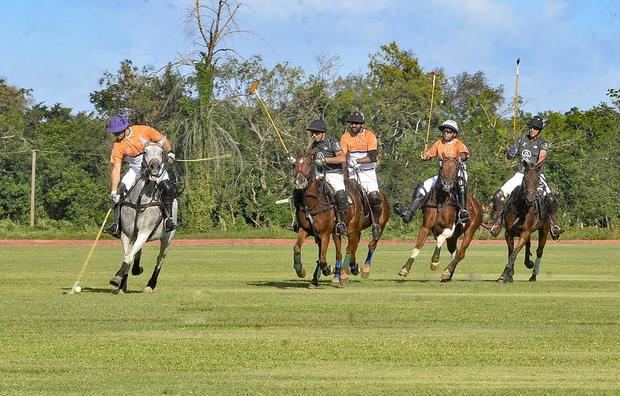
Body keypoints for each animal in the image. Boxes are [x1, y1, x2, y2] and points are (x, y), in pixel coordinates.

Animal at [108, 144, 177, 292]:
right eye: (144, 152)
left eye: (161, 152)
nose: (155, 168)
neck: (140, 200)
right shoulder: (127, 233)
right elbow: (128, 254)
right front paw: (122, 283)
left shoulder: (144, 232)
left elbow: (129, 255)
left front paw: (117, 279)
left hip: (167, 238)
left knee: (160, 258)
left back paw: (150, 285)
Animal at [290, 152, 388, 288]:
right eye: (294, 165)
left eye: (309, 164)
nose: (299, 181)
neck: (313, 203)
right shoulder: (305, 229)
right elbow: (298, 248)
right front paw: (301, 271)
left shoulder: (325, 233)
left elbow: (322, 258)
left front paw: (328, 269)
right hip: (341, 231)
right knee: (344, 250)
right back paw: (347, 270)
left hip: (362, 226)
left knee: (365, 245)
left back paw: (359, 271)